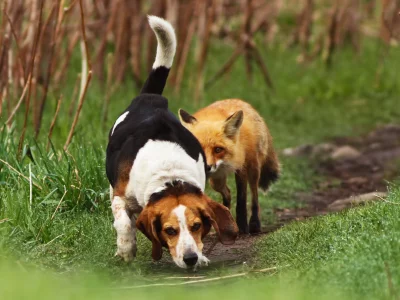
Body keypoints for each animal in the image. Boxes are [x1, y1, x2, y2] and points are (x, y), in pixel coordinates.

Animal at [180, 99, 280, 233]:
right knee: (227, 193)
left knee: (254, 195)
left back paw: (254, 223)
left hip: (253, 169)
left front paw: (242, 227)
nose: (207, 167)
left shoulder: (241, 168)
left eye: (218, 149)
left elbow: (241, 200)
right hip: (216, 181)